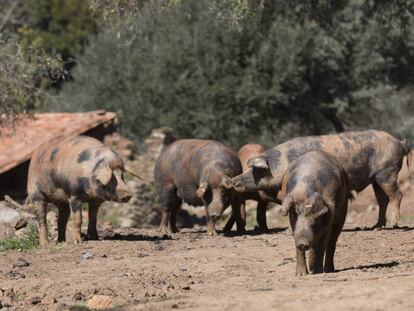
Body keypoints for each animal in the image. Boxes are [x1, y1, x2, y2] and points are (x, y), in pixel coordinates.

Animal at [231, 129, 412, 229]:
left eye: (256, 170)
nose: (233, 181)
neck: (283, 163)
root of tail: (400, 142)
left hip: (387, 172)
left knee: (397, 195)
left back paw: (393, 225)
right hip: (375, 178)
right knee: (383, 200)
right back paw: (377, 226)